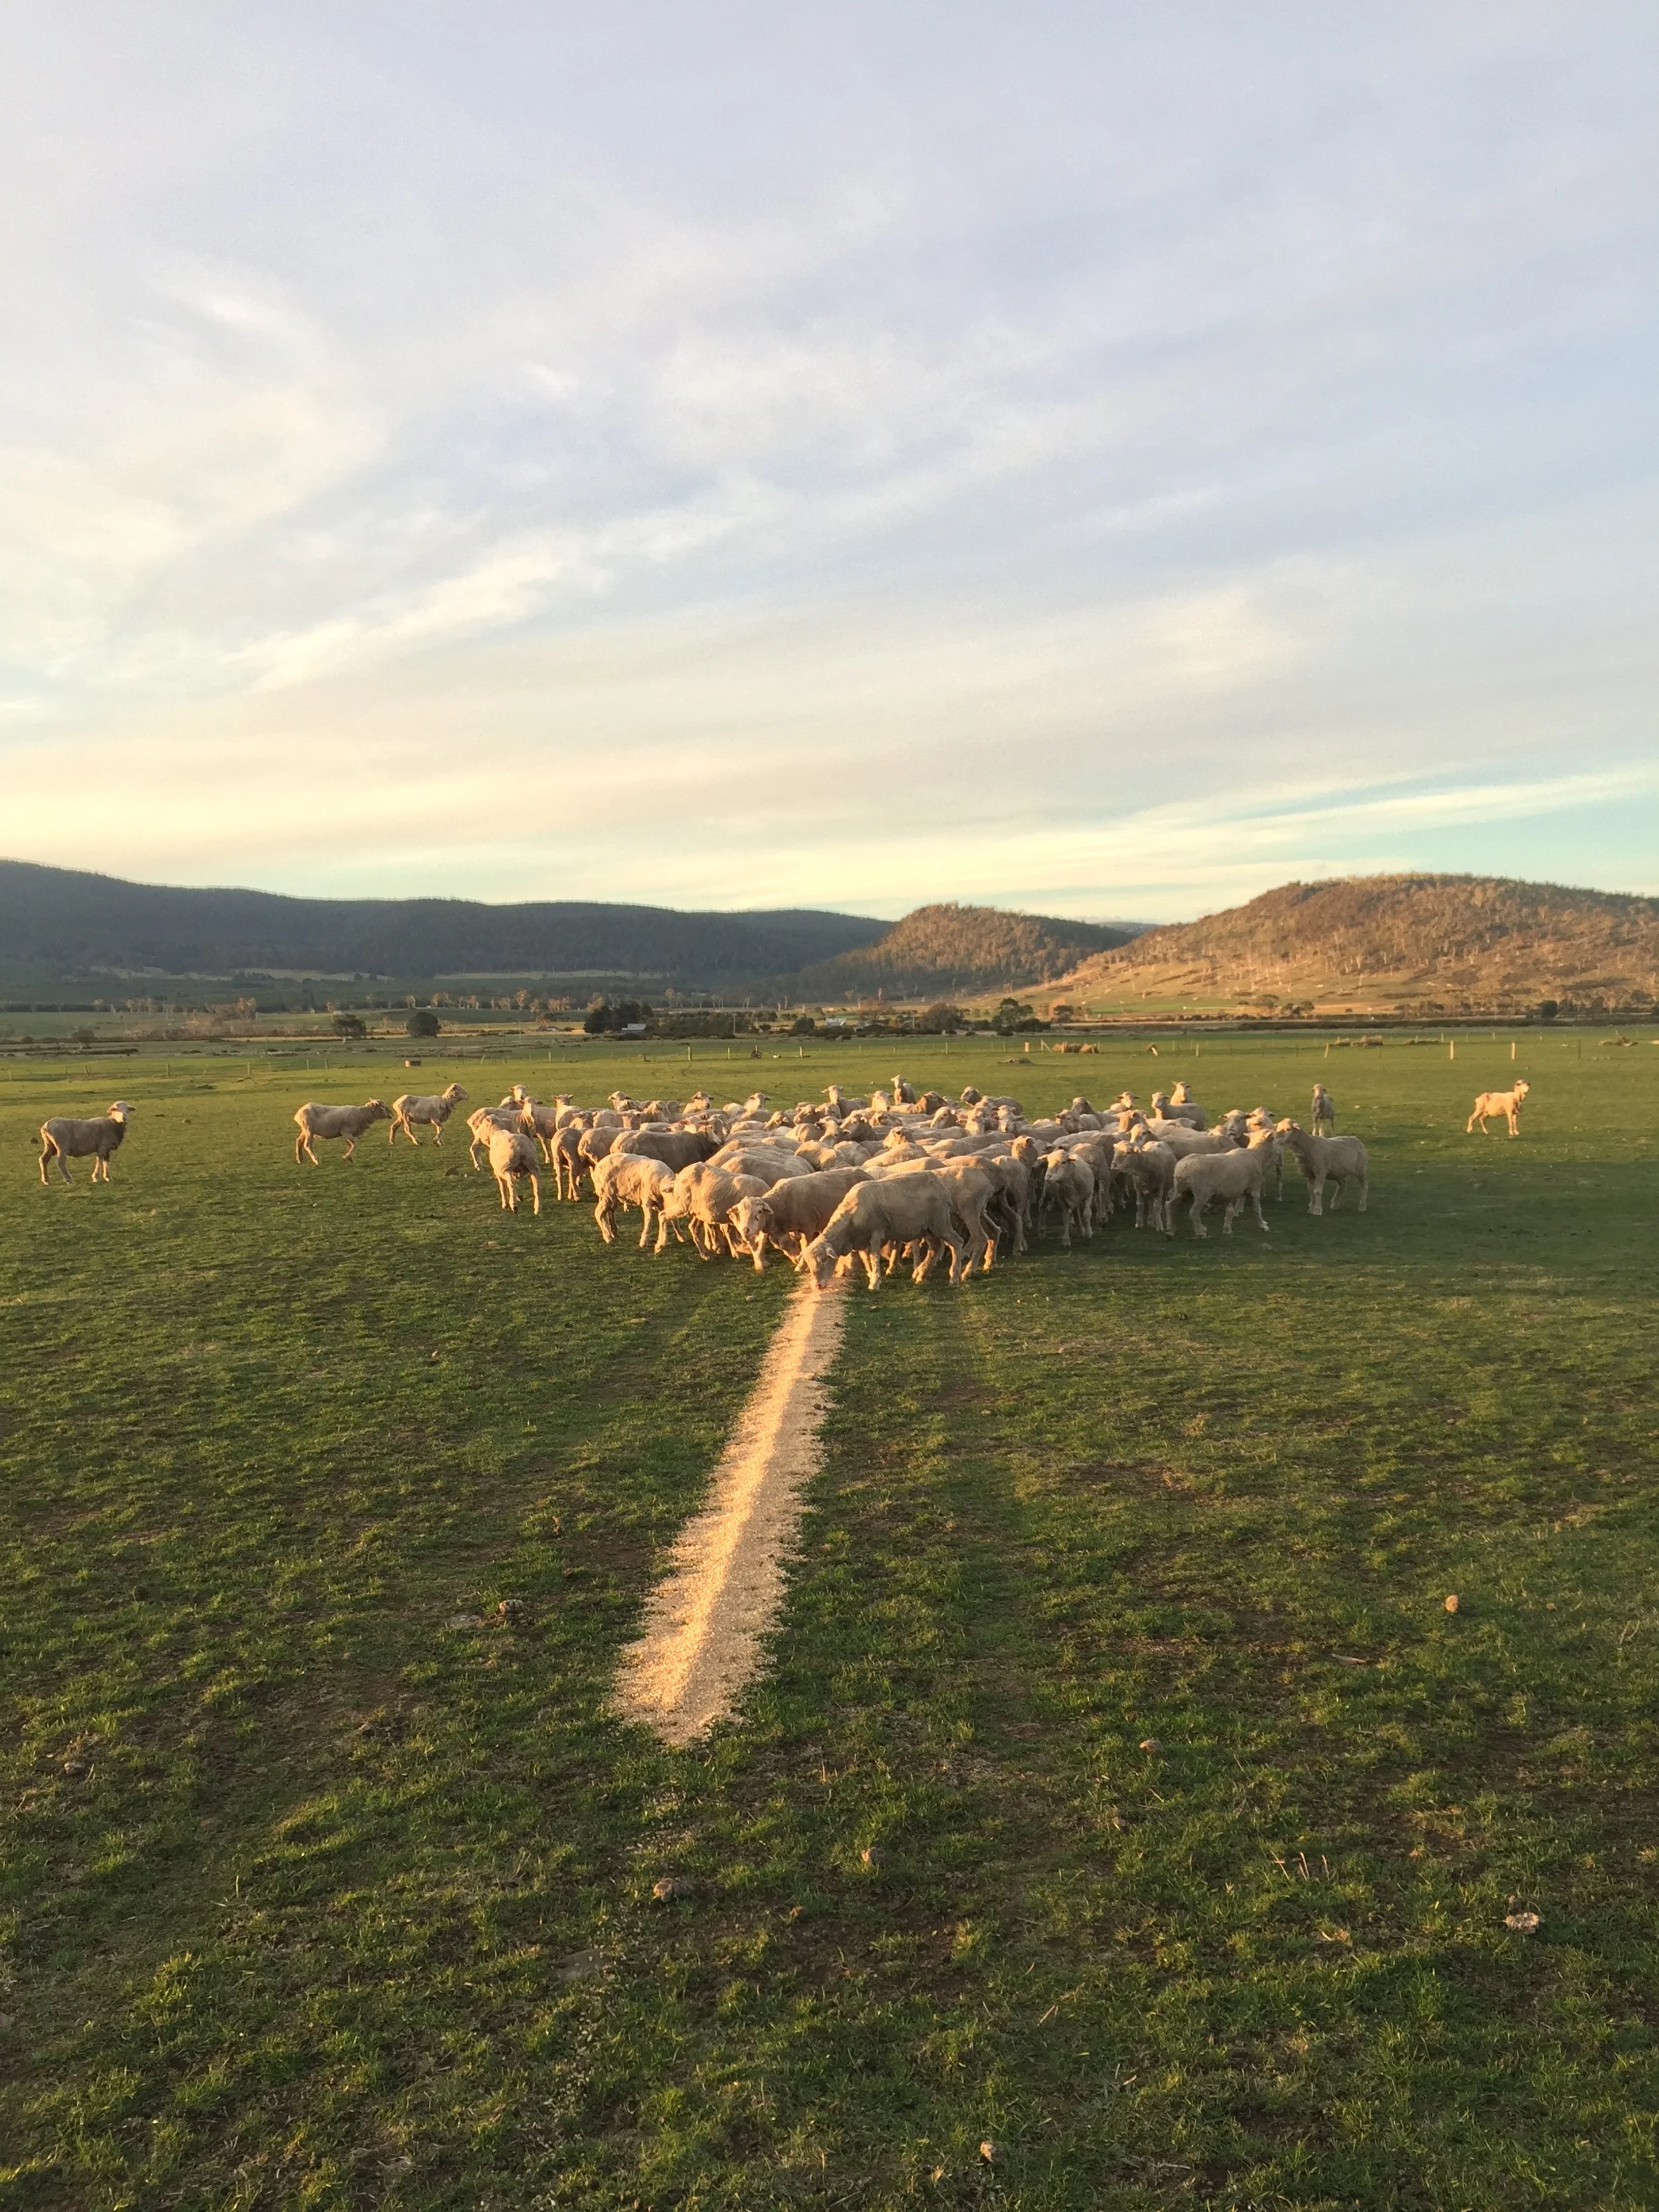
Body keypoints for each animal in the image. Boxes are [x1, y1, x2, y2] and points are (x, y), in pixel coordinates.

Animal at [38, 1101, 133, 1184]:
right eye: (115, 1109)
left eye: (127, 1110)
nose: (124, 1118)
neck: (113, 1124)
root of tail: (45, 1126)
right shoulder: (102, 1146)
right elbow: (99, 1160)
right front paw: (95, 1177)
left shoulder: (107, 1147)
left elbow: (105, 1161)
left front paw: (107, 1177)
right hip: (62, 1146)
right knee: (60, 1162)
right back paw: (68, 1179)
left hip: (50, 1145)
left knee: (43, 1159)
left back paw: (46, 1180)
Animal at [294, 1099, 391, 1165]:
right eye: (382, 1106)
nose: (392, 1114)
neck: (363, 1115)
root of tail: (299, 1112)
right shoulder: (346, 1133)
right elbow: (354, 1145)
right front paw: (346, 1157)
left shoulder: (348, 1134)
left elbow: (350, 1145)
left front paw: (350, 1159)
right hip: (309, 1130)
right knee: (307, 1145)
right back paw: (316, 1160)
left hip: (305, 1130)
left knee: (299, 1141)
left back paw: (300, 1159)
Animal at [1173, 1146, 1271, 1238]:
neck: (1256, 1154)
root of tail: (1181, 1169)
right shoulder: (1255, 1188)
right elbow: (1257, 1209)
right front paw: (1263, 1225)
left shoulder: (1230, 1192)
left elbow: (1230, 1210)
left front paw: (1227, 1228)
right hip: (1202, 1193)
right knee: (1194, 1212)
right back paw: (1200, 1232)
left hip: (1181, 1191)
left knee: (1171, 1205)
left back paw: (1172, 1229)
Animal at [1278, 1123, 1369, 1215]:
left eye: (1288, 1129)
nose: (1277, 1139)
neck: (1308, 1145)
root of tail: (1356, 1138)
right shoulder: (1309, 1174)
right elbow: (1311, 1191)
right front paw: (1311, 1209)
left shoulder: (1320, 1171)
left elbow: (1317, 1191)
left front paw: (1317, 1211)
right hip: (1337, 1171)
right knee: (1342, 1184)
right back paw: (1334, 1204)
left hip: (1361, 1169)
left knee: (1364, 1186)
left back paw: (1362, 1207)